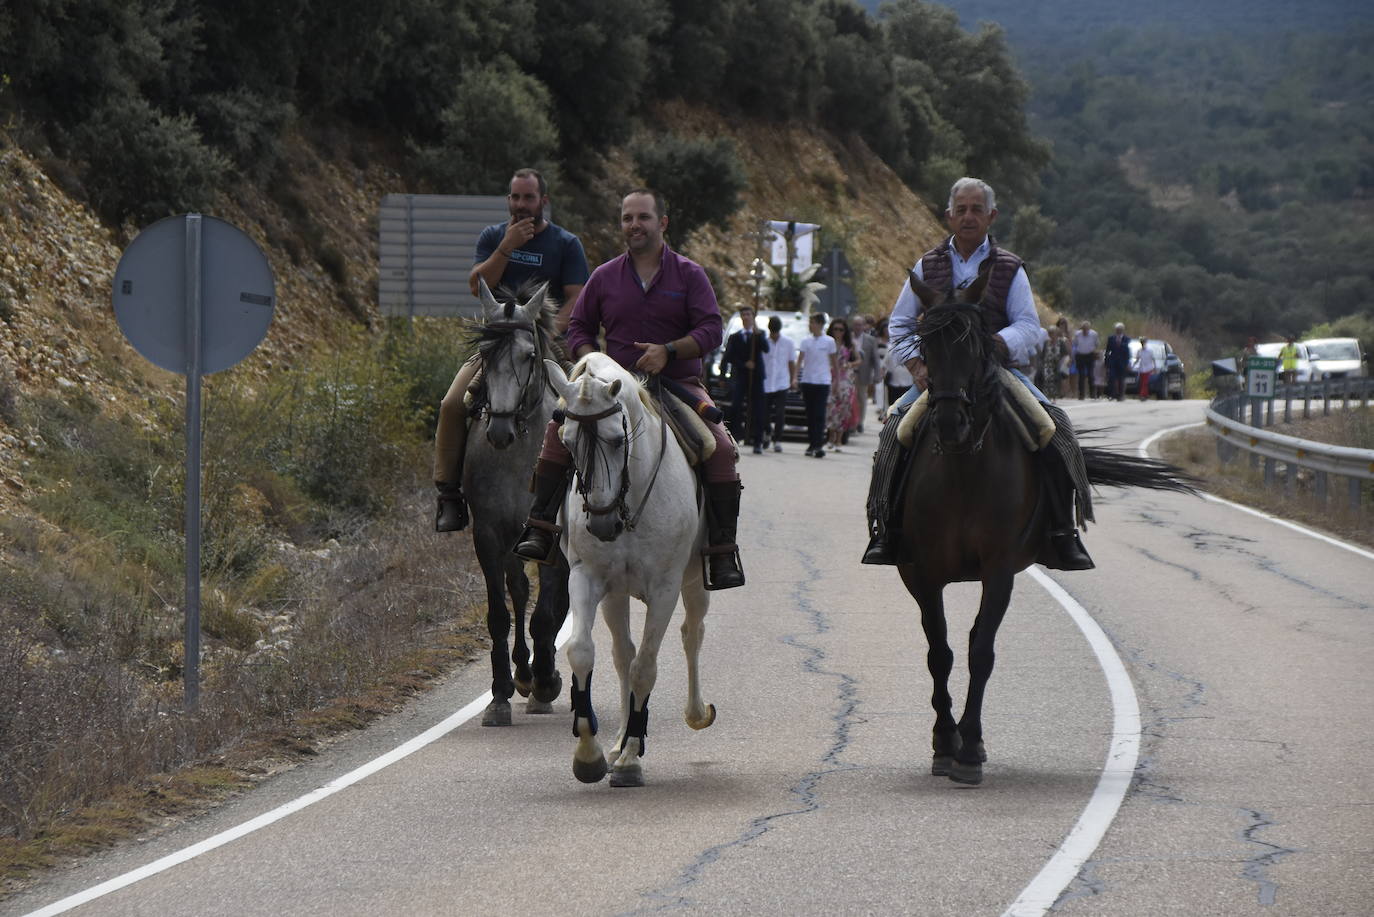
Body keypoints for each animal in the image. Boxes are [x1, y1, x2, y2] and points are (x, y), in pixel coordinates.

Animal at [544, 354, 719, 791]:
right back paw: (619, 739)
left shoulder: (665, 590)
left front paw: (629, 760)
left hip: (695, 583)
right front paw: (590, 754)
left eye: (617, 440)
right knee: (621, 655)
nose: (602, 523)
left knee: (691, 634)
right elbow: (583, 652)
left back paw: (694, 714)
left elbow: (646, 668)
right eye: (566, 442)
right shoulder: (587, 579)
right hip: (616, 594)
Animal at [895, 269, 1198, 786]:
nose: (951, 421)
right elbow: (941, 652)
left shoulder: (999, 571)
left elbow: (981, 652)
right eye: (925, 345)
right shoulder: (924, 573)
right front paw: (944, 743)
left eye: (977, 345)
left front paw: (969, 749)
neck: (962, 466)